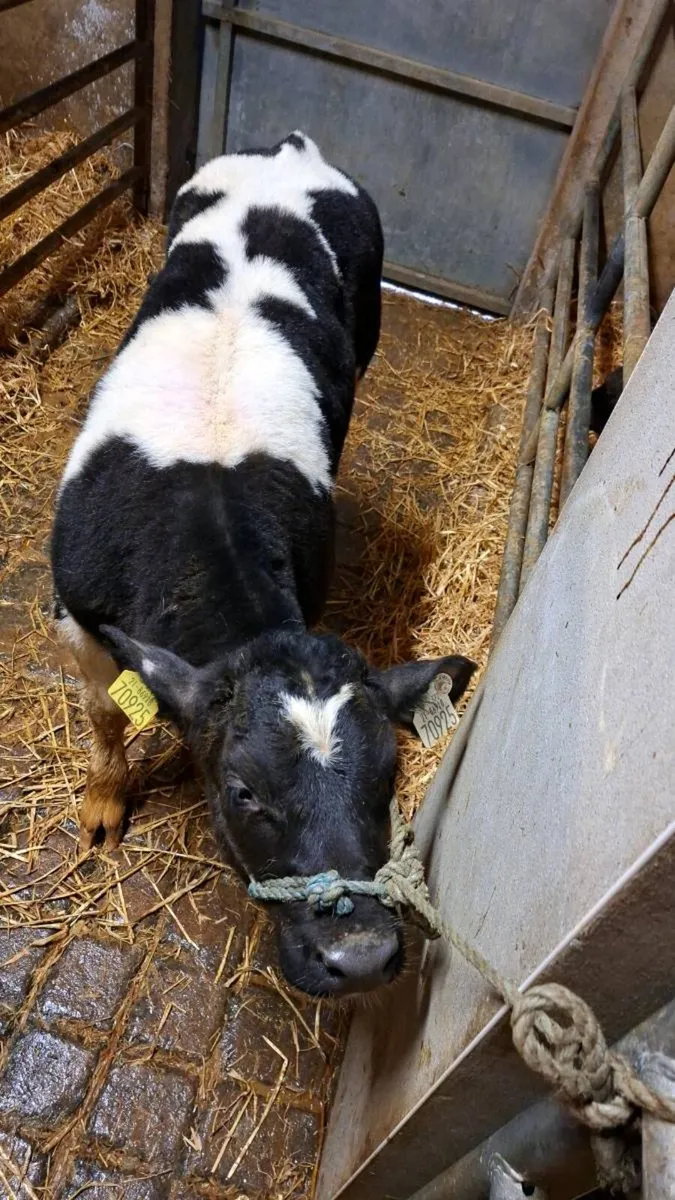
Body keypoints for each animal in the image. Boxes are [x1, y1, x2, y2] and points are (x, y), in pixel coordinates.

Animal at [51, 132, 475, 997]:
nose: (362, 954)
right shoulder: (76, 611)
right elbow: (106, 712)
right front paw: (104, 803)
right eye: (243, 789)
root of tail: (291, 149)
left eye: (390, 775)